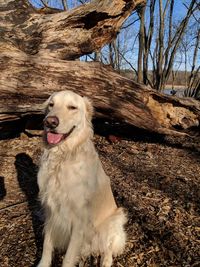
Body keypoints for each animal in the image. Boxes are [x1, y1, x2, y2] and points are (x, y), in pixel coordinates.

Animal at [37, 91, 126, 266]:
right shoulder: (50, 210)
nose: (50, 122)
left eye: (72, 107)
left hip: (115, 219)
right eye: (51, 104)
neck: (62, 157)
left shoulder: (78, 221)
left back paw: (105, 261)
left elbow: (68, 259)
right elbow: (47, 245)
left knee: (108, 248)